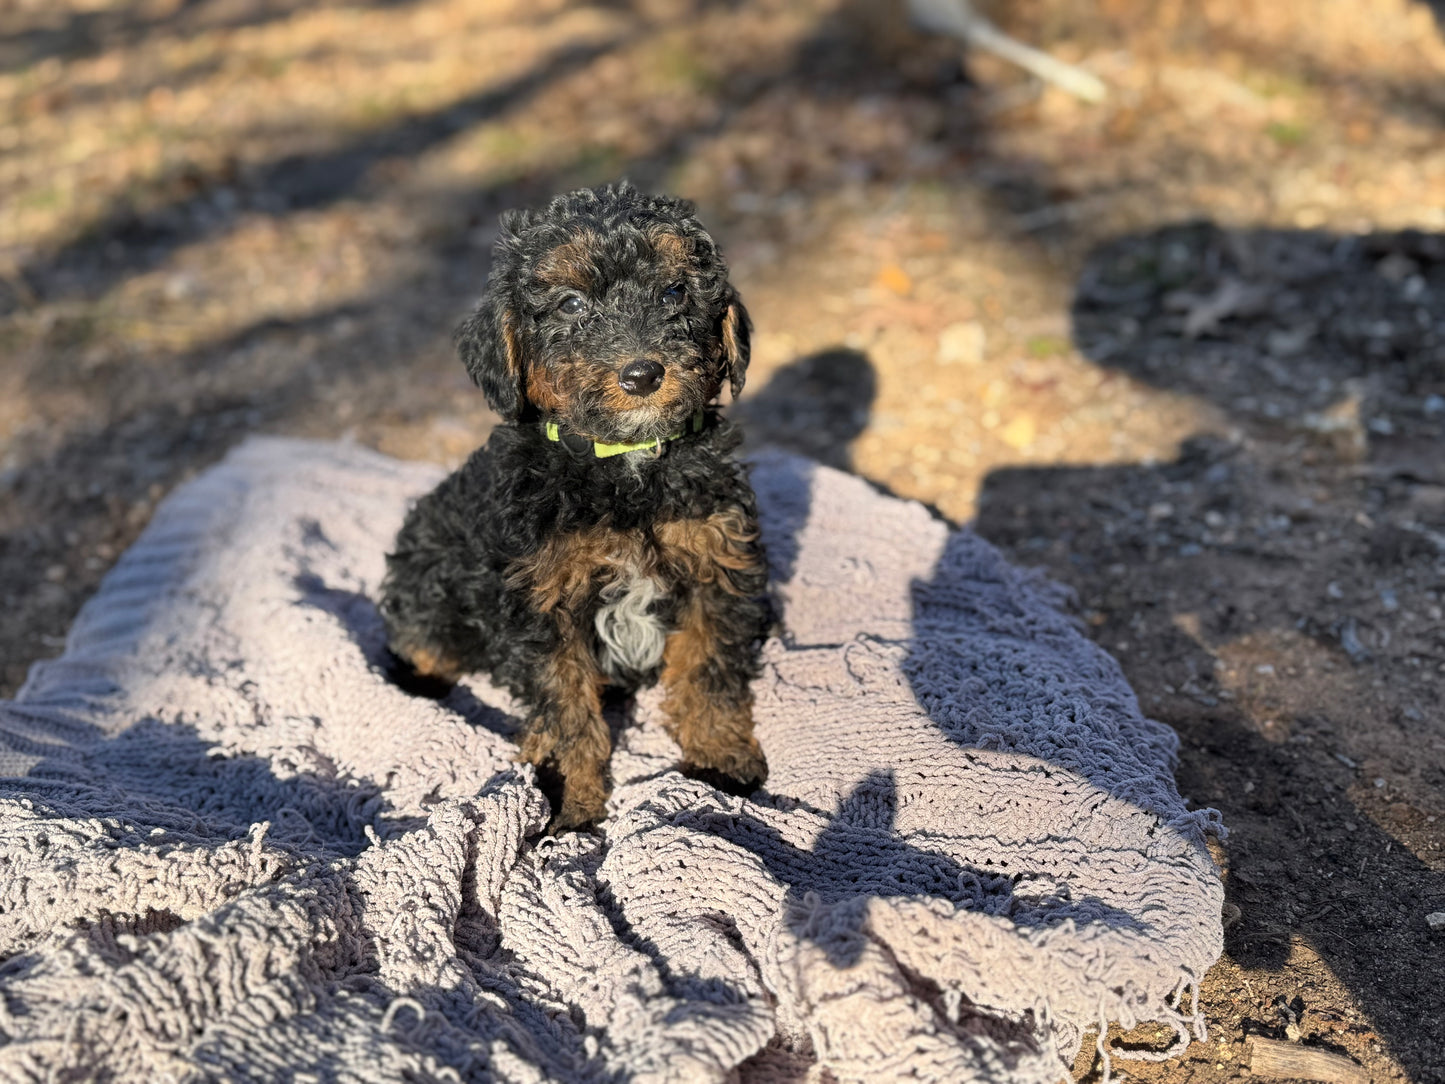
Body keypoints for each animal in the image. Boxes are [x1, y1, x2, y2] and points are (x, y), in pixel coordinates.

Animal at [381, 185, 768, 832]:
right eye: (569, 304)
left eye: (675, 291)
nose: (642, 374)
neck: (626, 463)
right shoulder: (544, 601)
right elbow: (565, 706)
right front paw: (568, 796)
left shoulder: (715, 562)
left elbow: (708, 667)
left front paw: (719, 757)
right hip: (431, 589)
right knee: (423, 644)